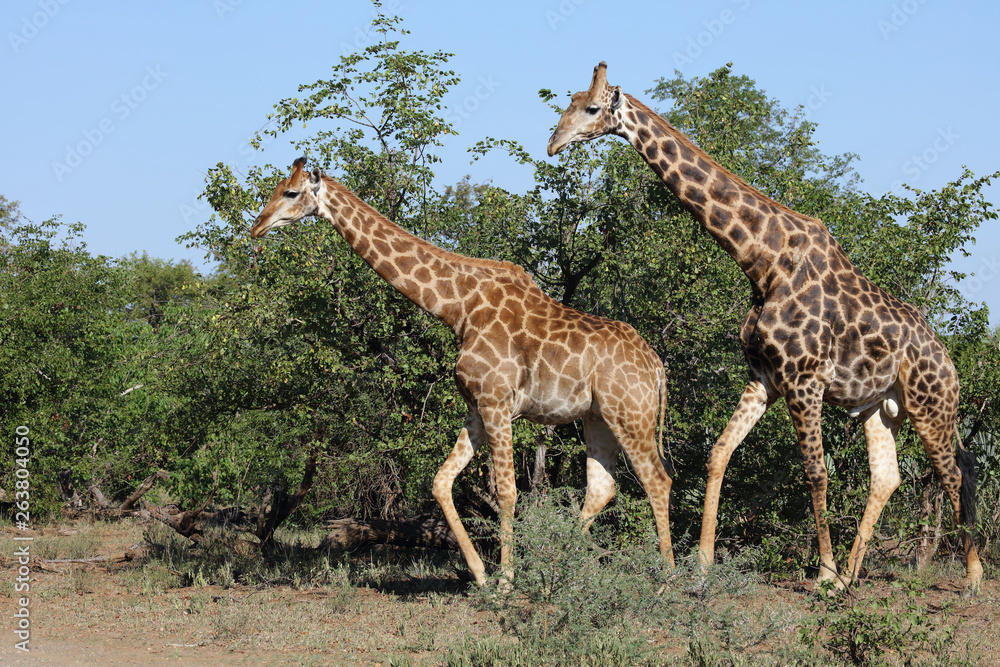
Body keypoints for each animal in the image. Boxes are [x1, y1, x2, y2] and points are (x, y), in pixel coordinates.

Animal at [250, 157, 674, 585]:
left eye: (290, 192)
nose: (257, 226)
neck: (459, 308)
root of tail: (657, 367)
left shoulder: (497, 402)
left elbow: (506, 491)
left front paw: (504, 581)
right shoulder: (476, 407)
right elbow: (441, 481)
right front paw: (482, 574)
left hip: (630, 414)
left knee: (657, 480)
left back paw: (669, 582)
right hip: (598, 417)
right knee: (602, 487)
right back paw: (556, 564)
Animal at [547, 62, 982, 594]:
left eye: (591, 108)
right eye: (567, 103)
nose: (553, 143)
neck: (763, 262)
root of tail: (950, 362)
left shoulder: (804, 379)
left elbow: (815, 472)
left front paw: (822, 575)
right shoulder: (765, 378)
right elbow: (718, 453)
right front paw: (704, 562)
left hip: (931, 405)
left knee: (954, 471)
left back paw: (970, 576)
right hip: (882, 408)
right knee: (888, 477)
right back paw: (854, 575)